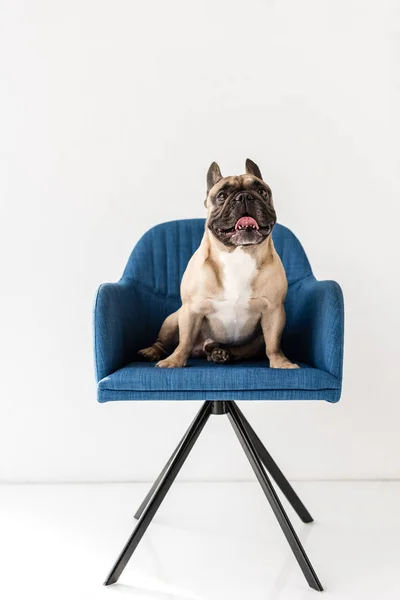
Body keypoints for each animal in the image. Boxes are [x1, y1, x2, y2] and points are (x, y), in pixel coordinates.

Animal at [139, 158, 298, 370]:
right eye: (222, 196)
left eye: (262, 191)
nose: (245, 197)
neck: (238, 252)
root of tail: (204, 348)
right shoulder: (191, 310)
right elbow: (184, 341)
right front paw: (174, 361)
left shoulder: (273, 310)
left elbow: (273, 343)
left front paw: (281, 363)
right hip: (173, 319)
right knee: (165, 341)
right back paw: (153, 351)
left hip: (255, 340)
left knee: (244, 349)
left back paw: (221, 353)